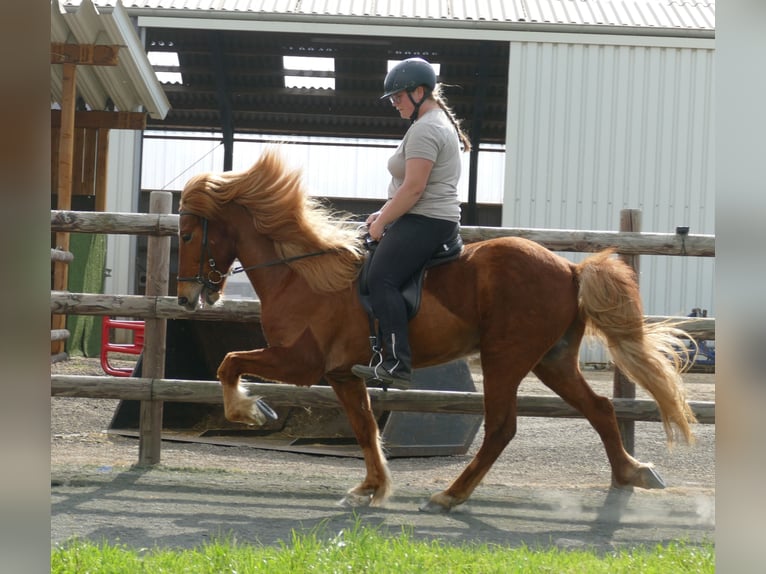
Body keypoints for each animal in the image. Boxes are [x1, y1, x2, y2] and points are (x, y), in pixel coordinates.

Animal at [177, 148, 700, 512]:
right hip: (551, 361)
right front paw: (369, 488)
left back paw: (450, 496)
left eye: (186, 234)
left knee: (502, 427)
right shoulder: (342, 373)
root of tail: (570, 270)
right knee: (600, 409)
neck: (299, 273)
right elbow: (365, 428)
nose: (186, 297)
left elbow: (229, 364)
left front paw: (252, 411)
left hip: (505, 358)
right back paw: (632, 473)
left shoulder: (301, 361)